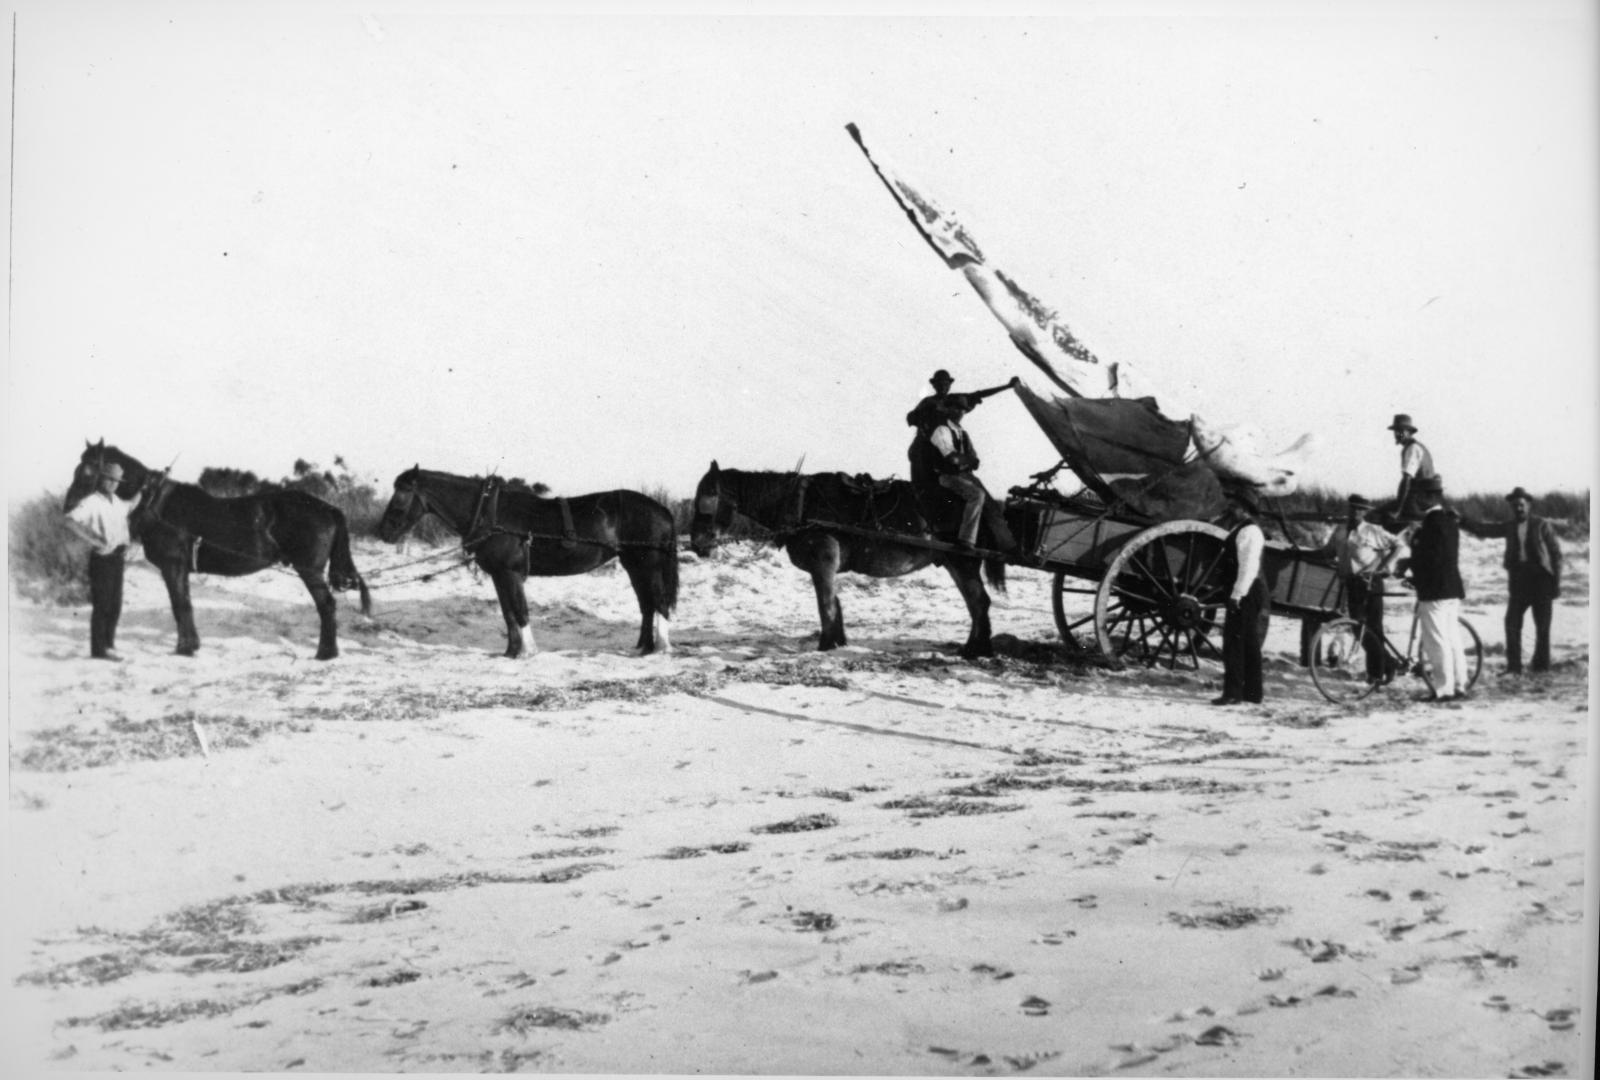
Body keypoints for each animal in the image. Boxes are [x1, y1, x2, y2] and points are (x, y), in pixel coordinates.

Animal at [63, 438, 371, 659]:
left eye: (87, 470)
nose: (67, 507)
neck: (158, 504)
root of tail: (327, 507)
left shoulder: (172, 566)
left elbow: (179, 605)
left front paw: (185, 648)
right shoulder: (180, 569)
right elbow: (185, 603)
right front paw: (191, 645)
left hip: (310, 570)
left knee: (327, 605)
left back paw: (325, 653)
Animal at [374, 467, 675, 659]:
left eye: (401, 493)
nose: (384, 532)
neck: (491, 515)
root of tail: (660, 509)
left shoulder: (510, 574)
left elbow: (519, 611)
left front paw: (527, 652)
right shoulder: (499, 575)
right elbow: (508, 614)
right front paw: (511, 652)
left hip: (647, 565)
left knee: (658, 602)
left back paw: (660, 648)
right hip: (634, 566)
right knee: (647, 605)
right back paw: (644, 648)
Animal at [688, 457, 1011, 659]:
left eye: (705, 497)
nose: (697, 545)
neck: (800, 505)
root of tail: (980, 499)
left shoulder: (823, 562)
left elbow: (825, 604)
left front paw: (825, 645)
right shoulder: (827, 567)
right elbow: (835, 603)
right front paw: (838, 641)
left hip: (963, 562)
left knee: (979, 603)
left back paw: (977, 650)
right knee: (977, 604)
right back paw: (975, 648)